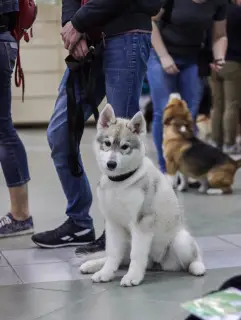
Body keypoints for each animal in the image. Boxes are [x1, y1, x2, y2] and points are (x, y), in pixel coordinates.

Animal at [79, 104, 205, 286]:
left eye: (125, 146)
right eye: (107, 143)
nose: (111, 164)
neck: (120, 183)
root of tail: (156, 263)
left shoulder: (141, 223)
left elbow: (137, 256)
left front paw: (132, 277)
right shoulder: (113, 224)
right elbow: (112, 254)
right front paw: (105, 273)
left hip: (181, 241)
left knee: (193, 256)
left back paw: (197, 267)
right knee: (119, 258)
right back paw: (93, 264)